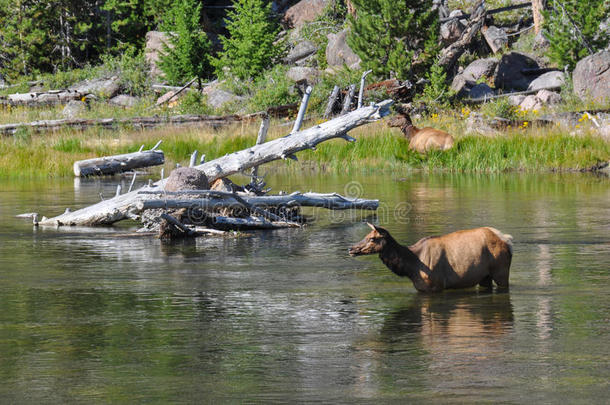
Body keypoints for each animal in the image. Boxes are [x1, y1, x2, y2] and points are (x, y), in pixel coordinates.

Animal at [346, 223, 512, 292]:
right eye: (366, 236)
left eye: (372, 239)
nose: (351, 248)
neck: (411, 268)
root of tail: (508, 240)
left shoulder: (435, 286)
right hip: (485, 276)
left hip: (501, 271)